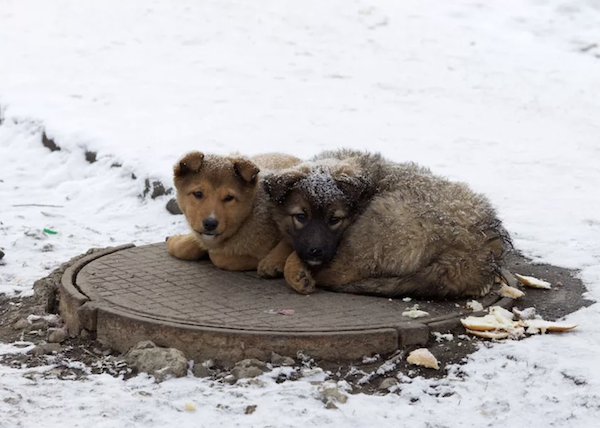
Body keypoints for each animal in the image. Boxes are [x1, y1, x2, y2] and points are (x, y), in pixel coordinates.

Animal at [168, 150, 298, 272]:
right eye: (198, 193)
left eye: (229, 198)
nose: (210, 224)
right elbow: (185, 247)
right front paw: (174, 241)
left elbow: (218, 257)